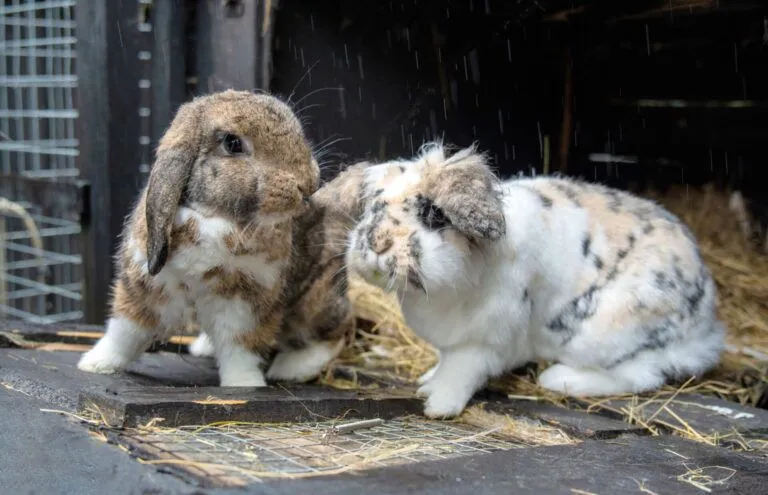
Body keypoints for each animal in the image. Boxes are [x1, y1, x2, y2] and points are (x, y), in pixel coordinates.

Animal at [77, 89, 320, 387]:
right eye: (232, 143)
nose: (308, 184)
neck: (216, 219)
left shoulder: (246, 303)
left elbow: (239, 348)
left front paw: (244, 384)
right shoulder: (145, 289)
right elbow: (125, 332)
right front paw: (95, 364)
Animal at [344, 141, 725, 419]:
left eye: (434, 215)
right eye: (374, 207)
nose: (375, 243)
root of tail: (704, 323)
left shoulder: (487, 341)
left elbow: (461, 371)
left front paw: (437, 404)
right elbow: (445, 362)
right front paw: (426, 380)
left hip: (606, 332)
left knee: (640, 375)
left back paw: (558, 378)